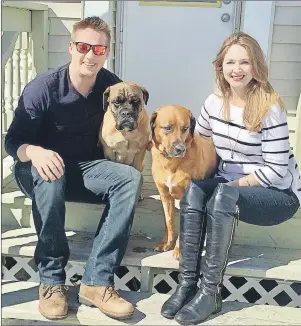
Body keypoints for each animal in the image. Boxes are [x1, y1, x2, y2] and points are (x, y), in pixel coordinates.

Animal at [149, 105, 216, 258]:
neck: (171, 162)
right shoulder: (165, 195)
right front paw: (166, 243)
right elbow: (169, 222)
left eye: (185, 128)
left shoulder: (187, 198)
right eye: (167, 128)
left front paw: (179, 250)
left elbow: (183, 227)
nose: (180, 149)